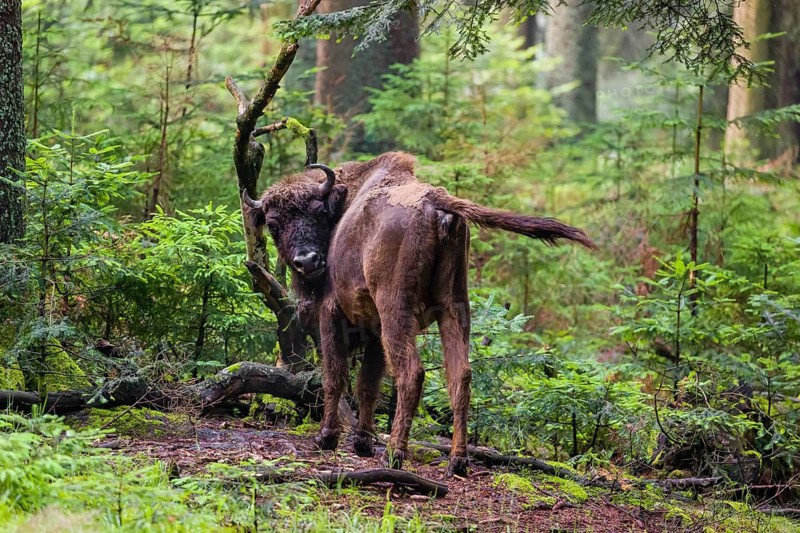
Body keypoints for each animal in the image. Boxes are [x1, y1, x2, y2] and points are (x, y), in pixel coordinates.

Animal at [243, 152, 596, 476]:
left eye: (319, 212)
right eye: (274, 225)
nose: (307, 261)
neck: (342, 204)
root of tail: (435, 200)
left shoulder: (334, 316)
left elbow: (335, 376)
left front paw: (327, 438)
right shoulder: (374, 331)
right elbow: (368, 384)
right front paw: (362, 442)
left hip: (396, 311)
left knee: (412, 373)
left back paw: (395, 454)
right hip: (454, 308)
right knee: (460, 376)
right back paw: (457, 461)